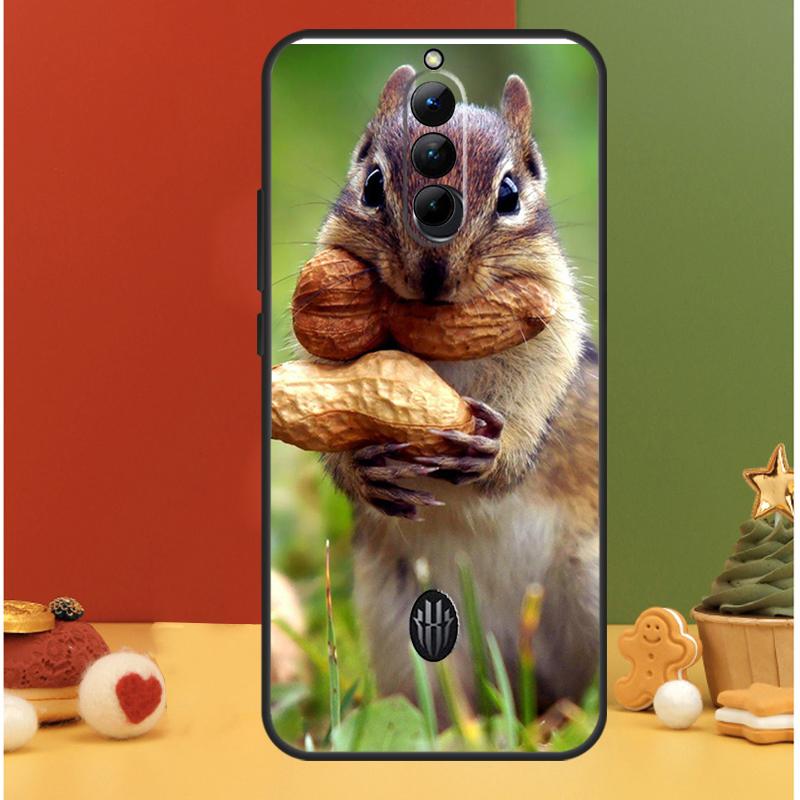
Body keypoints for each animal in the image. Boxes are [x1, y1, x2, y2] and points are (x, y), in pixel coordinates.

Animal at [306, 66, 599, 715]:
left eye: (510, 194)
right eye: (371, 184)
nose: (433, 275)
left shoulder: (555, 325)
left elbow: (538, 390)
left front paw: (496, 452)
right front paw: (359, 468)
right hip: (397, 623)